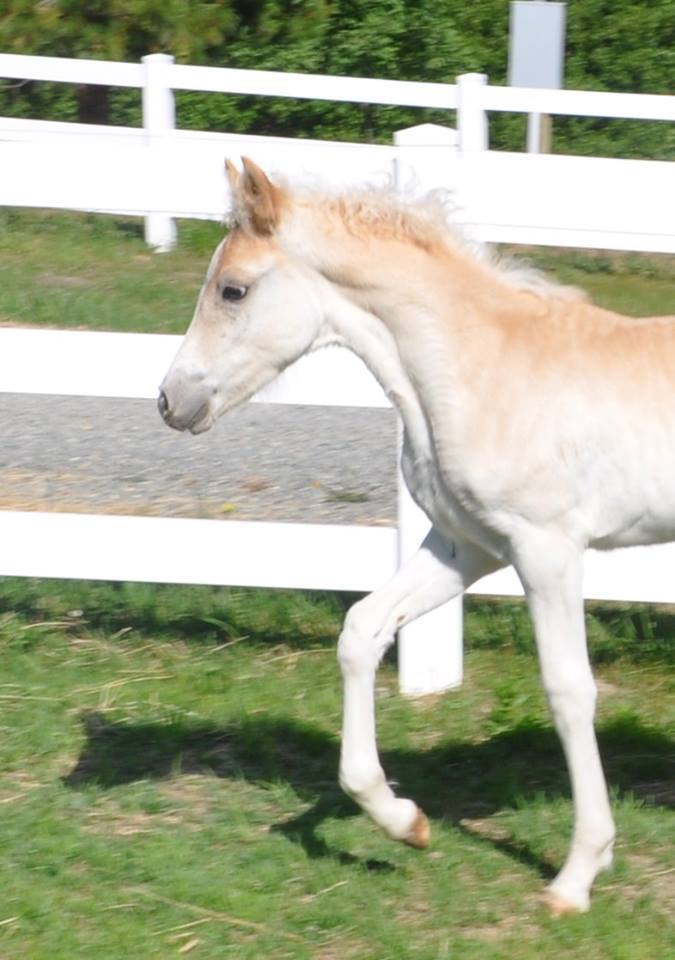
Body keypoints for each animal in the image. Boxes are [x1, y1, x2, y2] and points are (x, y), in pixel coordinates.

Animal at [160, 158, 675, 916]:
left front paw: (578, 873)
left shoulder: (546, 549)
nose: (170, 401)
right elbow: (361, 630)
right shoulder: (469, 546)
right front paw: (403, 822)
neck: (482, 369)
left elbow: (567, 689)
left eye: (233, 289)